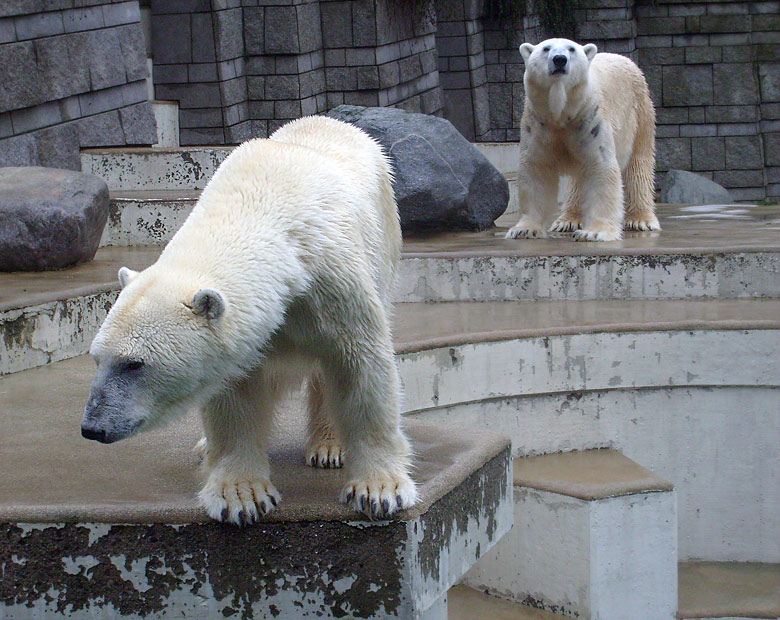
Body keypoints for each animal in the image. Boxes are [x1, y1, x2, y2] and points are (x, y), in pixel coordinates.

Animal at [81, 115, 418, 524]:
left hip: (384, 240)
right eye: (97, 358)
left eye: (134, 364)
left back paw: (329, 446)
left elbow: (359, 366)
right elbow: (234, 396)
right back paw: (204, 446)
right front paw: (240, 496)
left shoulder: (331, 277)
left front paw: (379, 490)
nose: (92, 427)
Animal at [506, 38, 660, 242]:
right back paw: (567, 220)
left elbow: (600, 168)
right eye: (546, 49)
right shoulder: (538, 123)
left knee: (639, 164)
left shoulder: (590, 119)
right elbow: (536, 170)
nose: (560, 59)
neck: (563, 113)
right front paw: (524, 229)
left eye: (571, 49)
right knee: (577, 180)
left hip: (640, 112)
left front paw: (595, 232)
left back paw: (641, 219)